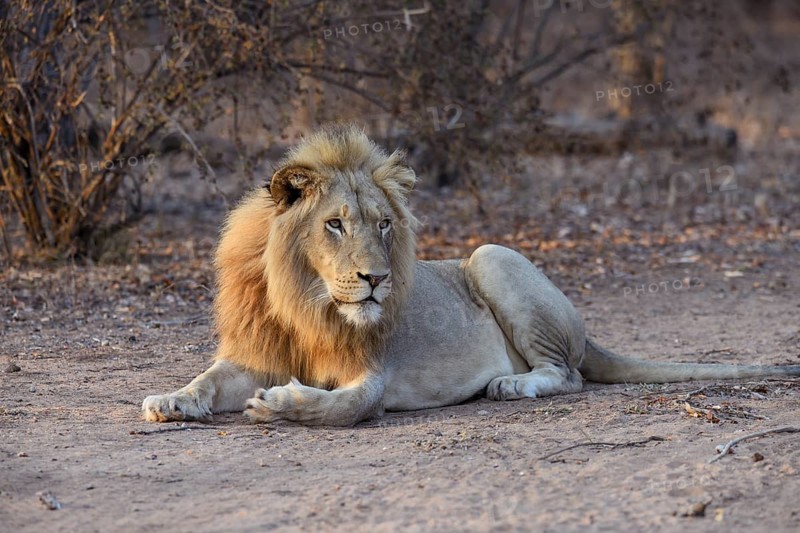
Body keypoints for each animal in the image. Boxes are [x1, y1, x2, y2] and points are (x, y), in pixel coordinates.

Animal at [142, 124, 800, 426]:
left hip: (490, 256)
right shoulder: (255, 352)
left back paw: (512, 384)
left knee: (567, 375)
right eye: (334, 224)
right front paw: (172, 400)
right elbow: (207, 379)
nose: (376, 280)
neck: (306, 300)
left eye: (384, 224)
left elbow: (339, 406)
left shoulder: (371, 377)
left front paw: (280, 402)